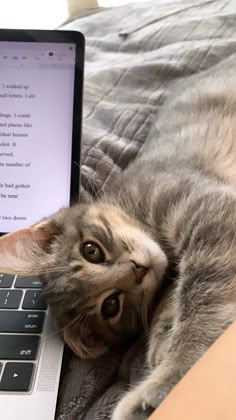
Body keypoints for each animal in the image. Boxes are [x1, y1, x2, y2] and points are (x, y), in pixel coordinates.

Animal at [1, 56, 236, 420]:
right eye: (111, 306)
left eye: (91, 250)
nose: (137, 269)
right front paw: (162, 334)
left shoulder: (210, 208)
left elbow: (202, 303)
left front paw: (165, 383)